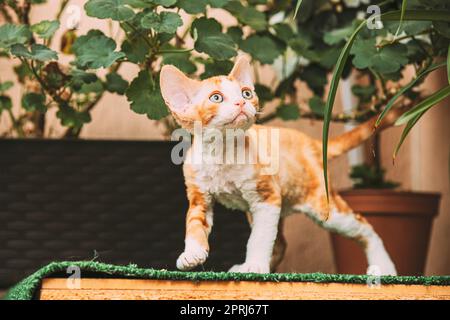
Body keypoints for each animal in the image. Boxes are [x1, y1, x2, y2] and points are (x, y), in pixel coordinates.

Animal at [159, 55, 398, 276]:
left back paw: (384, 267)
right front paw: (192, 254)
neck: (222, 153)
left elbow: (259, 238)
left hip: (323, 206)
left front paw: (255, 265)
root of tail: (311, 142)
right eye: (216, 98)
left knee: (364, 226)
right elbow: (194, 225)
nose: (241, 103)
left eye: (246, 93)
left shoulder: (266, 198)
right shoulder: (199, 197)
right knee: (281, 242)